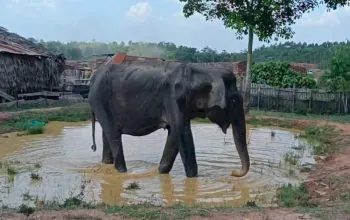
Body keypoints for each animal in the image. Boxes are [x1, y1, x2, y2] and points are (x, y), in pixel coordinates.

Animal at [89, 59, 250, 177]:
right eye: (234, 100)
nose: (233, 172)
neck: (202, 71)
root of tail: (94, 77)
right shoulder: (174, 99)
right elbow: (182, 133)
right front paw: (193, 179)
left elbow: (174, 135)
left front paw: (161, 172)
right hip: (100, 100)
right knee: (113, 135)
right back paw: (123, 172)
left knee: (107, 135)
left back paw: (107, 166)